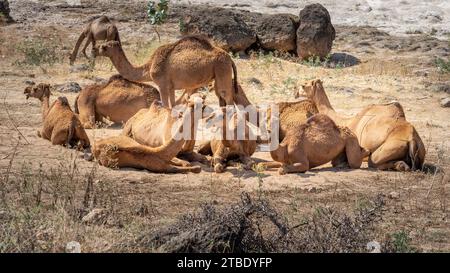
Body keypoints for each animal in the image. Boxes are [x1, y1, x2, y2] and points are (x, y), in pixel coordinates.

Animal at [92, 35, 248, 108]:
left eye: (104, 47)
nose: (94, 50)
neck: (149, 67)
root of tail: (230, 58)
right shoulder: (171, 87)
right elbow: (173, 105)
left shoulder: (162, 84)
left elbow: (166, 106)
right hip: (219, 73)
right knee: (222, 97)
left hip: (222, 69)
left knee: (227, 97)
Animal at [298, 77, 426, 170]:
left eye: (304, 85)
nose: (296, 92)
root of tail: (412, 140)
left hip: (389, 147)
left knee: (373, 161)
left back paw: (401, 166)